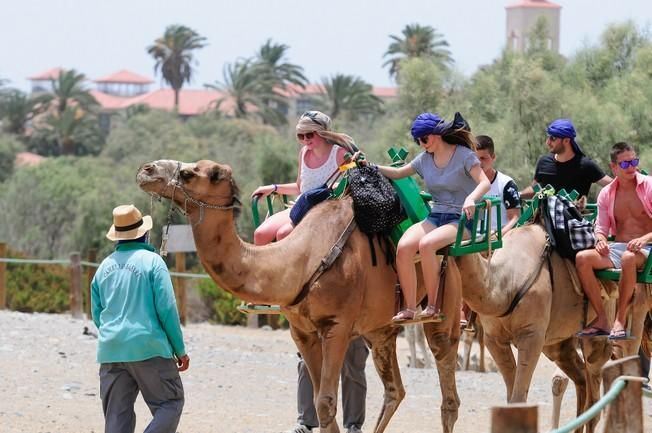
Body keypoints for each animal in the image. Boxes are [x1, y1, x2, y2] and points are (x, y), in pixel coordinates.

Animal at [136, 159, 464, 432]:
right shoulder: (301, 331)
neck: (304, 259)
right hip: (380, 328)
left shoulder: (337, 327)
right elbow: (320, 401)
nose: (147, 170)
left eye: (193, 173)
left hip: (443, 304)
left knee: (448, 393)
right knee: (395, 390)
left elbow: (326, 401)